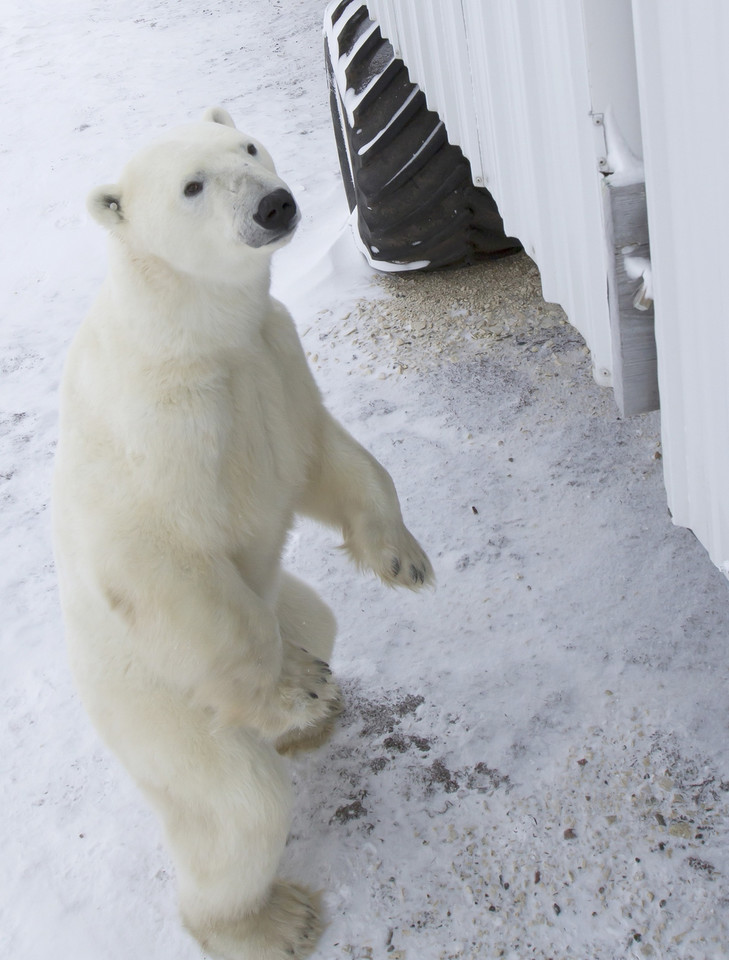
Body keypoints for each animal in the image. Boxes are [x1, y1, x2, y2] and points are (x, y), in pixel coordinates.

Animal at [52, 107, 432, 960]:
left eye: (249, 147)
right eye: (193, 186)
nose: (274, 205)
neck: (192, 333)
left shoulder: (272, 355)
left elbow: (324, 454)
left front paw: (401, 556)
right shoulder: (162, 423)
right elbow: (162, 559)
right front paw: (291, 691)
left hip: (281, 603)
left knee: (315, 617)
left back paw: (311, 717)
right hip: (162, 709)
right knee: (234, 806)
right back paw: (272, 918)